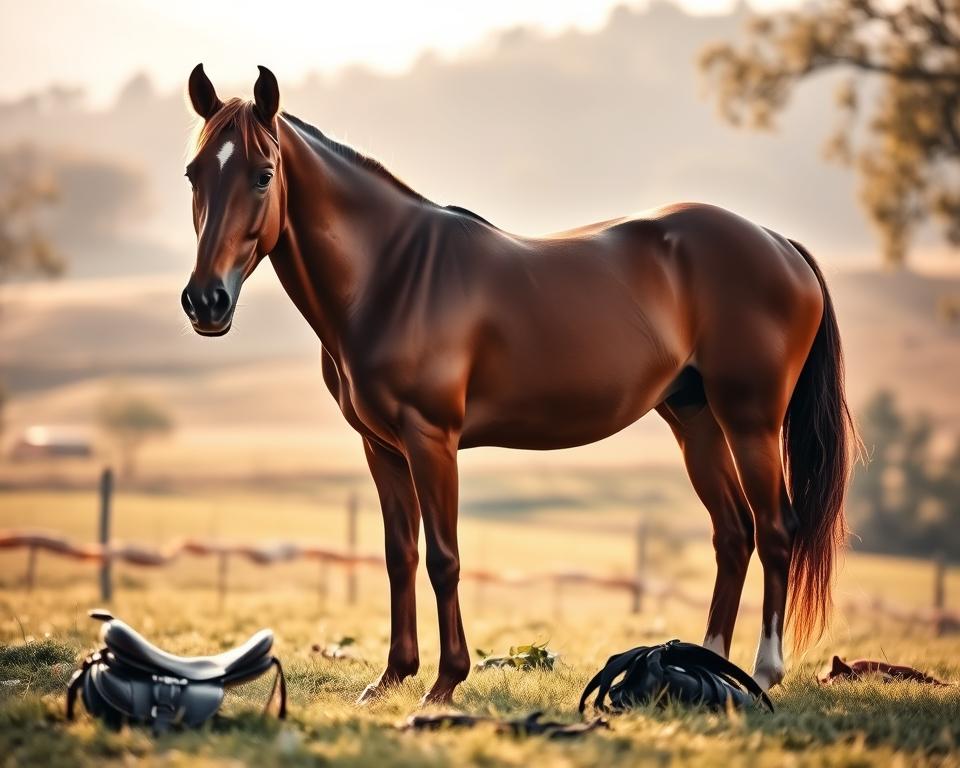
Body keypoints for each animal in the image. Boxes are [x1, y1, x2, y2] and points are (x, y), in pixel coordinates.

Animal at [181, 64, 857, 704]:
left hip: (750, 420)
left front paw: (443, 683)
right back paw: (706, 665)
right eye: (193, 174)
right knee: (733, 533)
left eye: (263, 174)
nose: (206, 301)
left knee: (775, 531)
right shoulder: (381, 448)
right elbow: (400, 556)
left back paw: (763, 673)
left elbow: (443, 557)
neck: (391, 275)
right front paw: (391, 678)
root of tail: (779, 244)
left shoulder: (431, 440)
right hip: (695, 421)